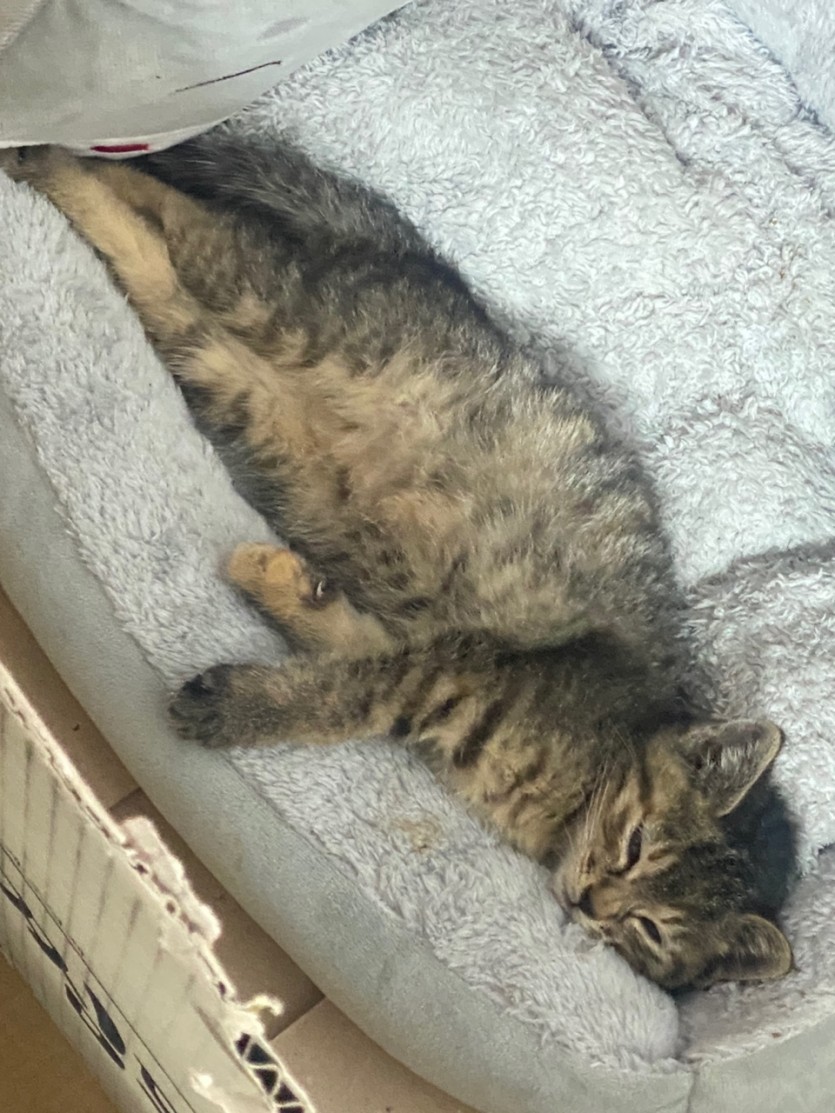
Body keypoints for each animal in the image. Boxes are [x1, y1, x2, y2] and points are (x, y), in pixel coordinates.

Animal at [0, 138, 795, 990]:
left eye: (647, 930)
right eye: (636, 844)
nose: (589, 903)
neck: (580, 786)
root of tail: (418, 264)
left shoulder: (420, 651)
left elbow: (343, 643)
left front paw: (282, 584)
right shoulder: (460, 666)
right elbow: (347, 698)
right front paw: (237, 709)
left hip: (222, 367)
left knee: (152, 262)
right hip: (285, 305)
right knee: (183, 213)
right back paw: (55, 159)